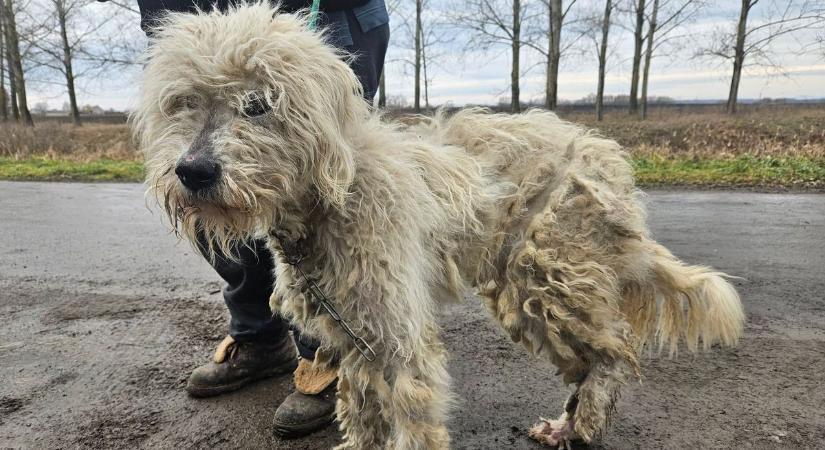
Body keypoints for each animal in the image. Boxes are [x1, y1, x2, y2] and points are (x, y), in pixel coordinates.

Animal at [132, 2, 744, 446]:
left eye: (259, 103)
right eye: (183, 102)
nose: (193, 170)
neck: (337, 194)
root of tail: (605, 159)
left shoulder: (400, 342)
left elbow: (412, 420)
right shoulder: (357, 342)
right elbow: (363, 417)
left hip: (552, 281)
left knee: (614, 353)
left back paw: (586, 422)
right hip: (530, 296)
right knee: (588, 361)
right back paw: (565, 424)